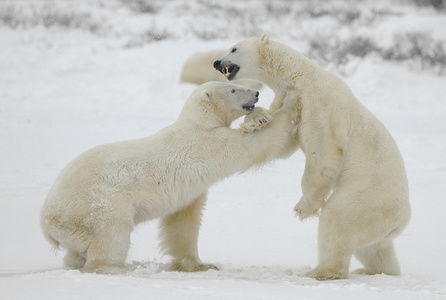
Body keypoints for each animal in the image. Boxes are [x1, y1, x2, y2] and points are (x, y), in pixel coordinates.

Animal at [41, 80, 300, 274]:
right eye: (233, 89)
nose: (256, 93)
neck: (198, 123)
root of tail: (47, 224)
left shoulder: (190, 191)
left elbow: (184, 222)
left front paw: (201, 265)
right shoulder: (208, 143)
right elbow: (252, 146)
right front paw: (290, 105)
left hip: (74, 226)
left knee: (76, 250)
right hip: (95, 203)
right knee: (112, 230)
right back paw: (116, 267)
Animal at [215, 34, 412, 280]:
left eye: (233, 49)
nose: (216, 62)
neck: (300, 76)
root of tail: (402, 220)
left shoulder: (320, 102)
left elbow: (322, 148)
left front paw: (303, 207)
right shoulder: (285, 96)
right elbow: (282, 141)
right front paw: (255, 121)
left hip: (368, 196)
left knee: (338, 219)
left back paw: (318, 272)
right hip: (379, 223)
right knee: (374, 248)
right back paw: (374, 270)